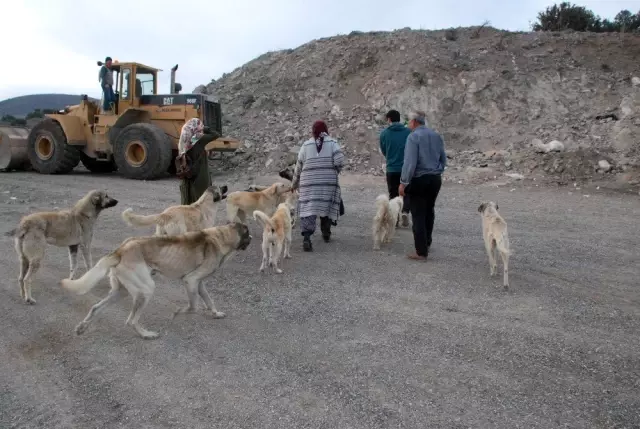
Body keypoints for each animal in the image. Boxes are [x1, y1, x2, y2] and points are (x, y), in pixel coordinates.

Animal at [58, 222, 251, 340]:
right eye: (248, 233)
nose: (251, 240)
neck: (222, 236)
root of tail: (120, 250)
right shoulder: (191, 280)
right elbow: (193, 307)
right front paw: (178, 312)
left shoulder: (199, 283)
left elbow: (209, 301)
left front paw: (215, 313)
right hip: (146, 289)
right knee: (131, 320)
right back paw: (146, 334)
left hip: (121, 291)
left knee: (96, 308)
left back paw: (82, 328)